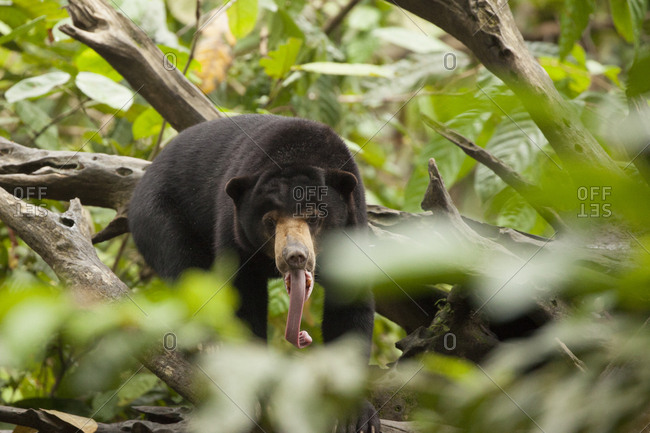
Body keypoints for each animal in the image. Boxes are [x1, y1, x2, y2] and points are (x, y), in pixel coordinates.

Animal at [128, 114, 379, 433]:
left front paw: (355, 415)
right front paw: (257, 391)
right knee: (184, 265)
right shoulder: (233, 233)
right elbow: (243, 298)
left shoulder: (353, 226)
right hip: (157, 214)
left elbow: (350, 307)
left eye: (314, 217)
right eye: (270, 221)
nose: (295, 256)